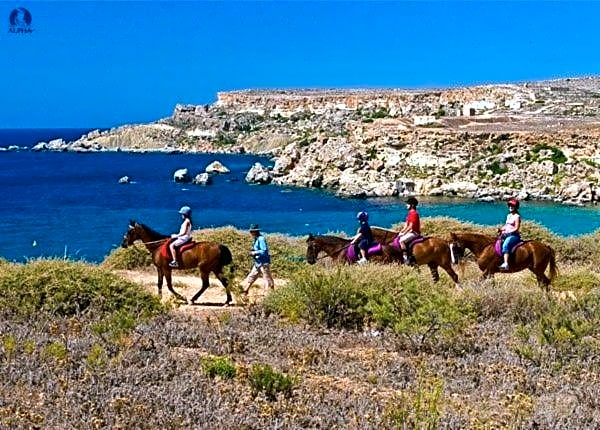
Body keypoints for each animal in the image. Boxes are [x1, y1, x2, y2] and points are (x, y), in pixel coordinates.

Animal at [304, 232, 460, 286]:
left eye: (310, 247)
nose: (309, 261)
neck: (340, 249)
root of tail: (445, 242)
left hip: (444, 263)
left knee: (454, 276)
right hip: (432, 264)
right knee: (436, 278)